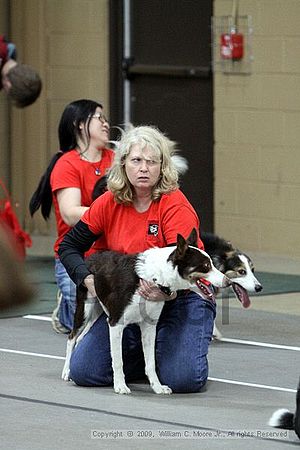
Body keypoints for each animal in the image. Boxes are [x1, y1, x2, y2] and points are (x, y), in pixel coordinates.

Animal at [61, 230, 230, 396]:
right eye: (206, 266)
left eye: (213, 263)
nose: (228, 281)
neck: (154, 277)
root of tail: (90, 257)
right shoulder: (116, 323)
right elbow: (118, 360)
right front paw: (120, 385)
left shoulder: (149, 327)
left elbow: (150, 363)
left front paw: (157, 387)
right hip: (85, 308)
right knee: (72, 338)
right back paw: (67, 371)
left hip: (97, 311)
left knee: (80, 337)